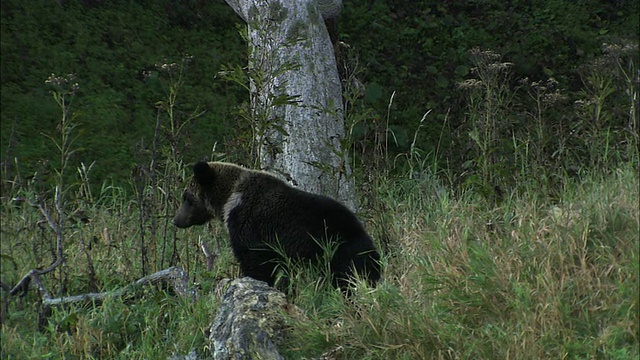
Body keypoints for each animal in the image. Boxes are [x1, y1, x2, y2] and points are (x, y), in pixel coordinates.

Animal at [172, 162, 380, 292]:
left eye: (187, 198)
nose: (176, 220)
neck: (228, 199)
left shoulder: (248, 224)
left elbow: (255, 261)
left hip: (338, 250)